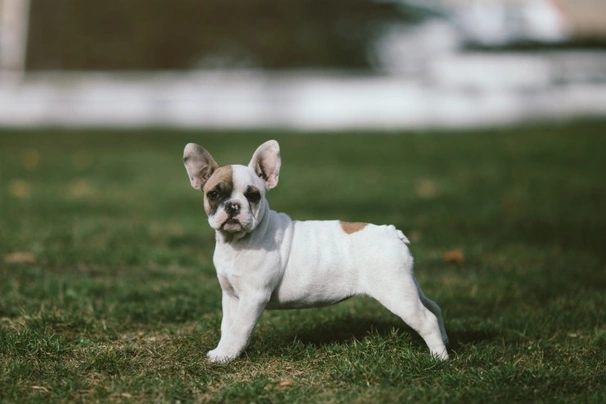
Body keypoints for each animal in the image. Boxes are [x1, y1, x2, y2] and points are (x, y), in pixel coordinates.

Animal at [183, 140, 448, 362]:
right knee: (433, 307)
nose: (233, 206)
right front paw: (223, 350)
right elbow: (227, 326)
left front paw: (226, 356)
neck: (237, 242)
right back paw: (444, 342)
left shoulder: (253, 297)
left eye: (253, 195)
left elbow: (239, 329)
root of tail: (391, 232)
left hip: (395, 292)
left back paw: (439, 358)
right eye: (214, 194)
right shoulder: (231, 296)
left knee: (426, 319)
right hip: (406, 286)